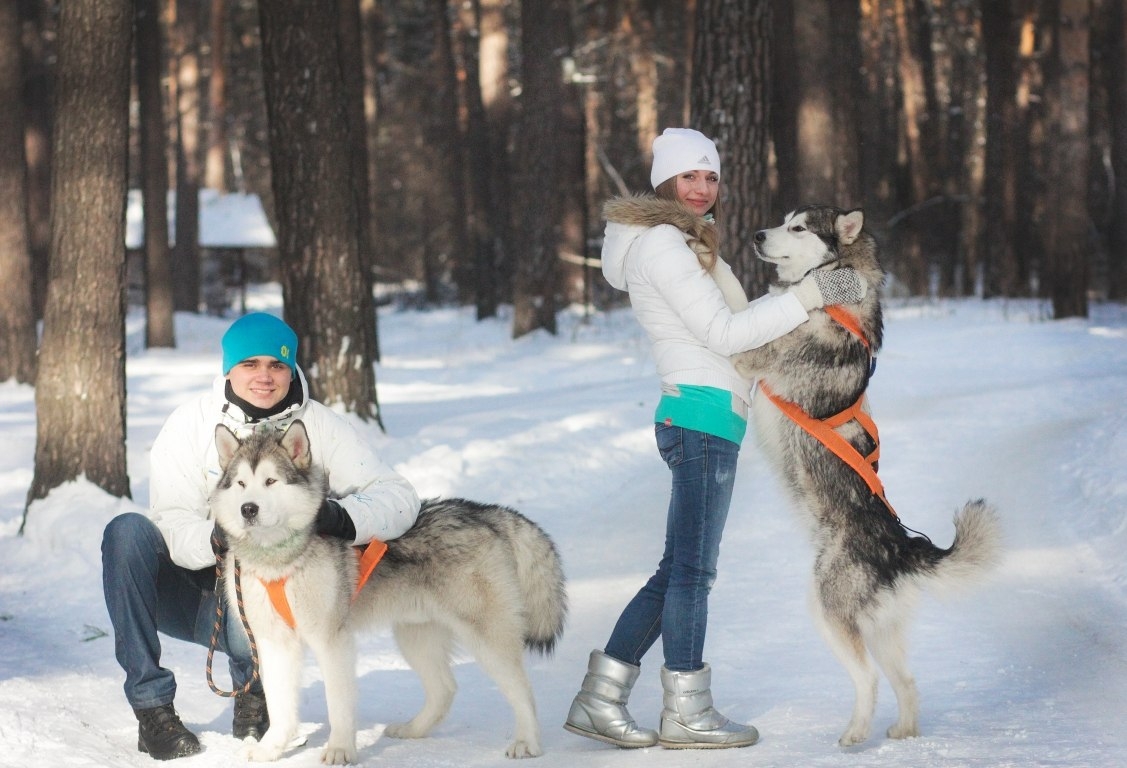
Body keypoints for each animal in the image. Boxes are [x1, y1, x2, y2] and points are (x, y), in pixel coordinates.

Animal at [208, 419, 568, 762]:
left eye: (271, 481)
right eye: (241, 484)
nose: (248, 509)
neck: (279, 560)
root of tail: (487, 513)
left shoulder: (331, 640)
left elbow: (338, 703)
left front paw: (340, 750)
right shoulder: (273, 643)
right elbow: (281, 707)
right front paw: (271, 750)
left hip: (486, 637)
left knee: (522, 689)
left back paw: (527, 742)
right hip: (415, 635)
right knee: (445, 689)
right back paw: (413, 730)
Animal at [730, 204, 1005, 744]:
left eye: (798, 227)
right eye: (783, 219)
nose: (755, 235)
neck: (831, 289)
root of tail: (902, 549)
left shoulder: (753, 356)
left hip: (828, 610)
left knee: (870, 679)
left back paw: (855, 734)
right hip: (880, 629)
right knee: (907, 681)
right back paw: (903, 733)